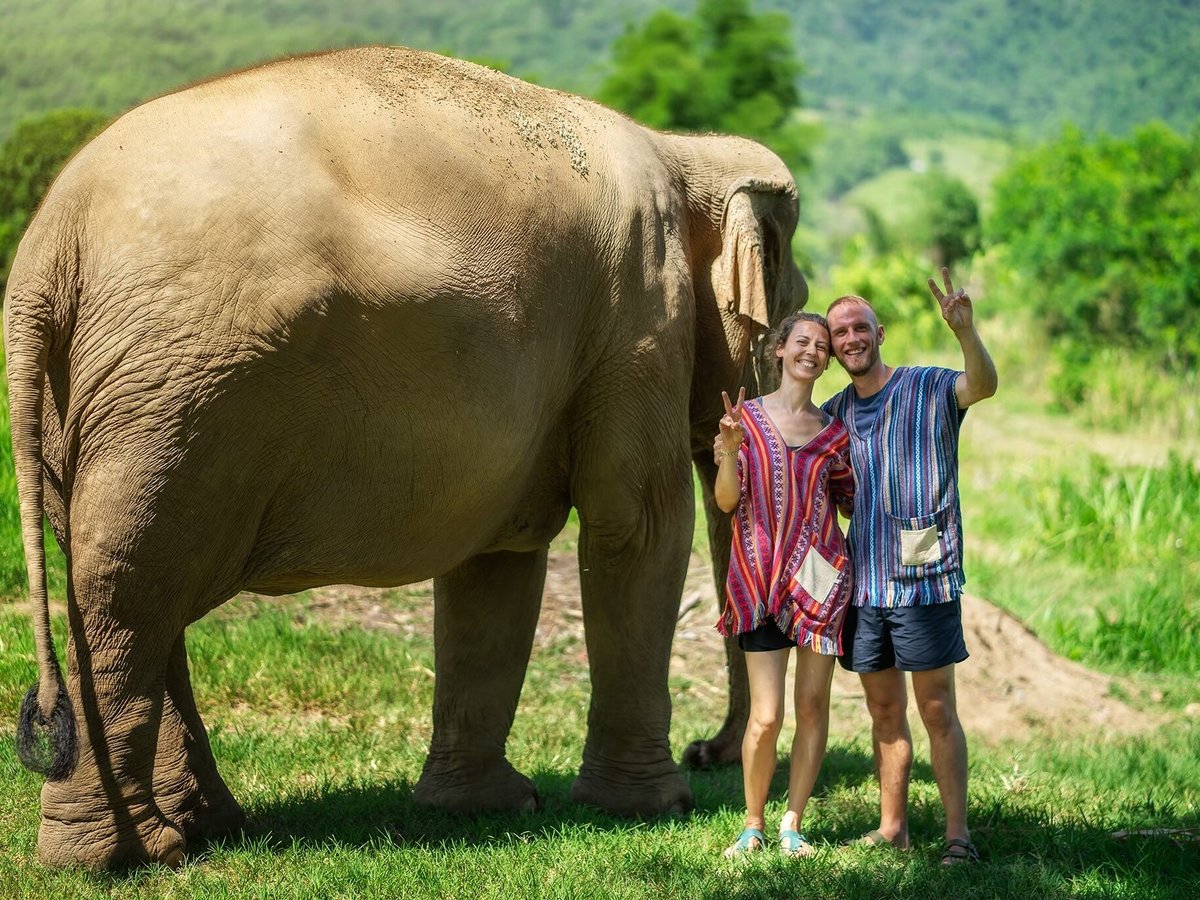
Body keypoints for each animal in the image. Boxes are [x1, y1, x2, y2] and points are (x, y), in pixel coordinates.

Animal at [7, 45, 796, 868]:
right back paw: (117, 856)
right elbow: (636, 526)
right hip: (173, 396)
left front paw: (484, 808)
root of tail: (47, 250)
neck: (684, 151)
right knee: (129, 588)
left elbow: (497, 559)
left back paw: (197, 833)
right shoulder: (641, 313)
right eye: (785, 316)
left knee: (130, 590)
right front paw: (651, 806)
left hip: (101, 405)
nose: (710, 752)